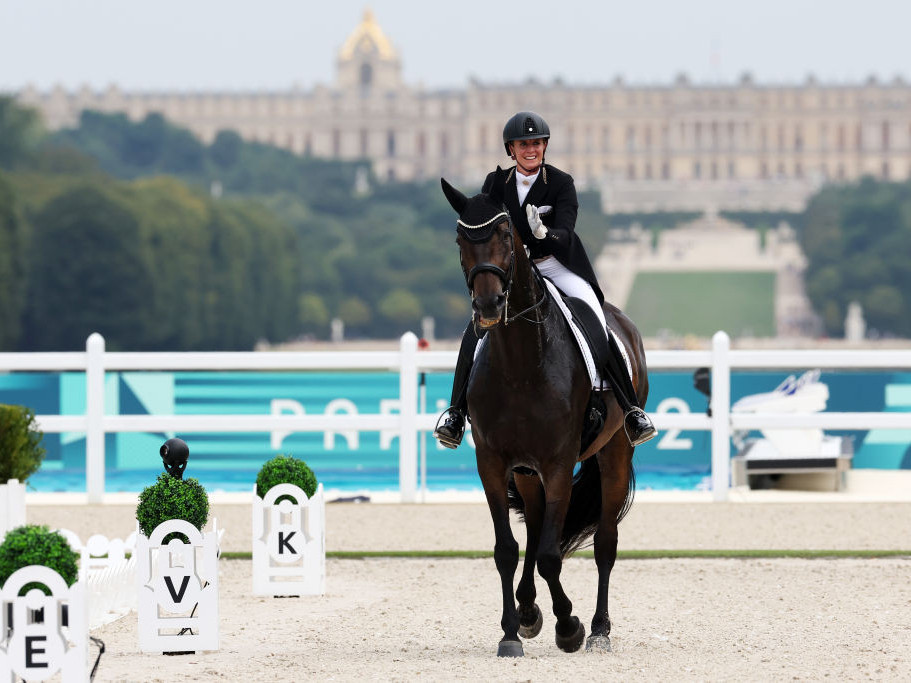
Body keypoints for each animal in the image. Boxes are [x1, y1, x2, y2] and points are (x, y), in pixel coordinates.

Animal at [444, 176, 648, 656]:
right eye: (461, 239)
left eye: (505, 234)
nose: (488, 305)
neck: (521, 363)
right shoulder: (494, 463)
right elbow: (508, 549)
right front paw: (511, 632)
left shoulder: (557, 462)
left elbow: (553, 555)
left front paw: (569, 626)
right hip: (525, 472)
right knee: (536, 532)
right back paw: (528, 610)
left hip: (615, 453)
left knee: (604, 542)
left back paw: (598, 630)